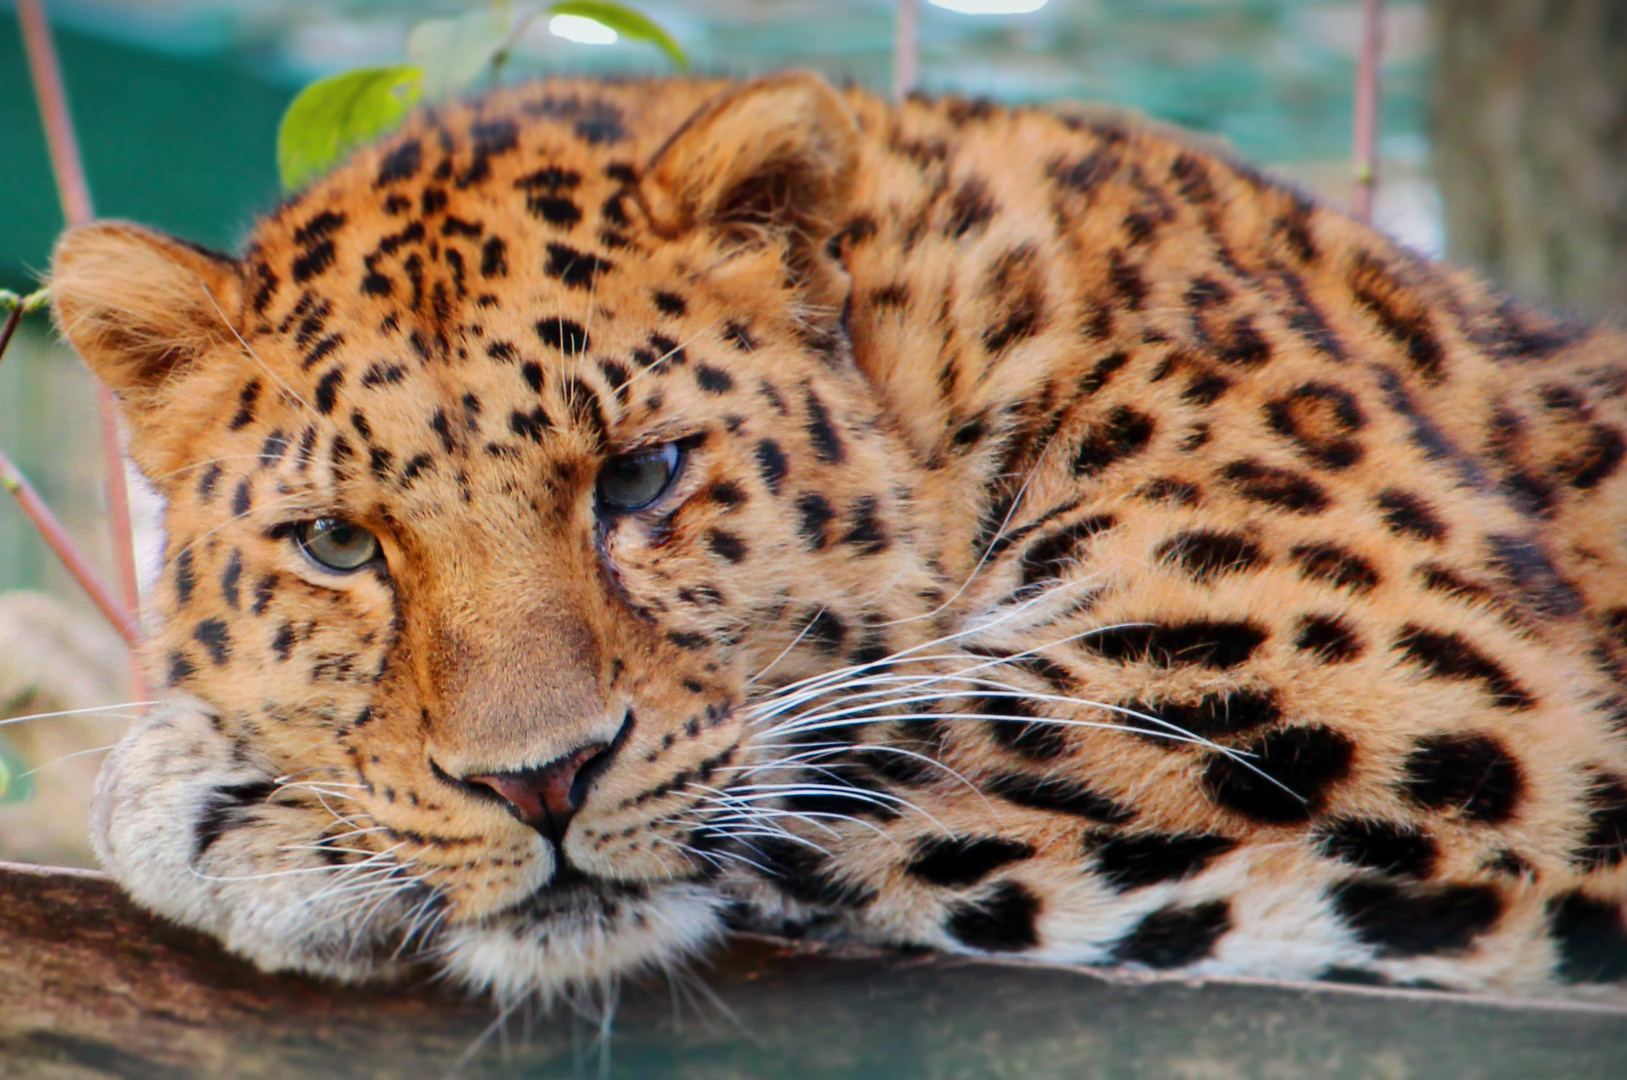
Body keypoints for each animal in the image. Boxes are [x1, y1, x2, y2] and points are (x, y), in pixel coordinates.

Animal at [41, 69, 1627, 1001]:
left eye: (640, 479)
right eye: (339, 547)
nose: (536, 783)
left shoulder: (1393, 674)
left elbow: (875, 730)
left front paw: (211, 803)